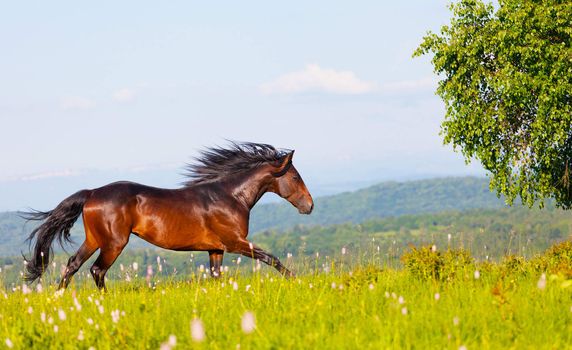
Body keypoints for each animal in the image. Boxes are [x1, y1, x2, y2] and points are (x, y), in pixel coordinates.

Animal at [23, 142, 312, 290]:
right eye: (295, 177)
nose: (309, 206)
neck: (230, 196)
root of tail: (92, 193)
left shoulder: (216, 249)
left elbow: (216, 276)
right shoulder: (234, 242)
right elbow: (271, 258)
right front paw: (296, 280)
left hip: (95, 238)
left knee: (73, 264)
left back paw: (60, 297)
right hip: (114, 242)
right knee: (97, 269)